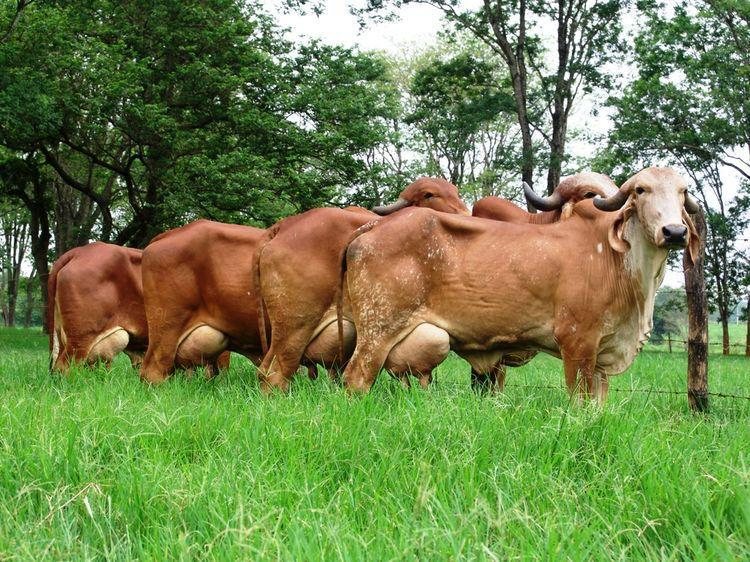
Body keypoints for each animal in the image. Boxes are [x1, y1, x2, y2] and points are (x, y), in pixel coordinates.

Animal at [256, 177, 469, 392]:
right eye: (429, 195)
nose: (466, 216)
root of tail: (285, 225)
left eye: (455, 192)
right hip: (294, 325)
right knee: (274, 370)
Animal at [340, 167, 700, 402]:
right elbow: (579, 403)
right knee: (355, 379)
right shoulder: (577, 344)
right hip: (377, 330)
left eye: (682, 192)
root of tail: (373, 227)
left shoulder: (601, 356)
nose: (674, 232)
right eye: (640, 190)